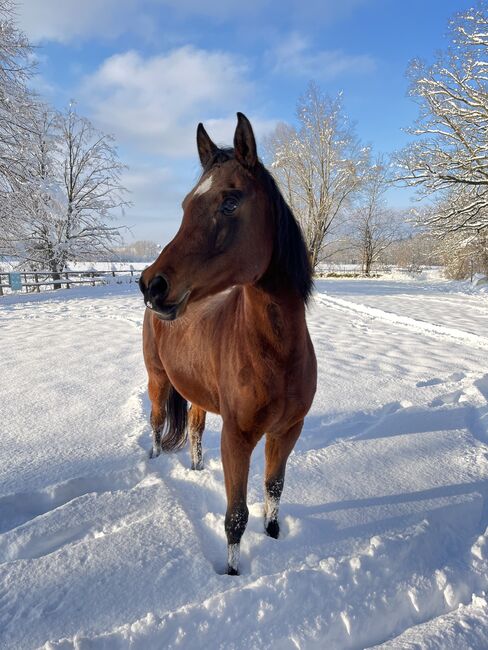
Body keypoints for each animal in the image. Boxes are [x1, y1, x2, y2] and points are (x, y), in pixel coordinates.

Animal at [139, 113, 317, 575]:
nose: (151, 284)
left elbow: (274, 488)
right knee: (157, 421)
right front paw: (234, 573)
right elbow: (235, 515)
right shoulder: (238, 439)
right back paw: (155, 459)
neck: (276, 355)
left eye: (230, 202)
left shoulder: (288, 430)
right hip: (157, 380)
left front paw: (274, 537)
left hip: (196, 393)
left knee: (195, 428)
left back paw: (197, 465)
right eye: (185, 205)